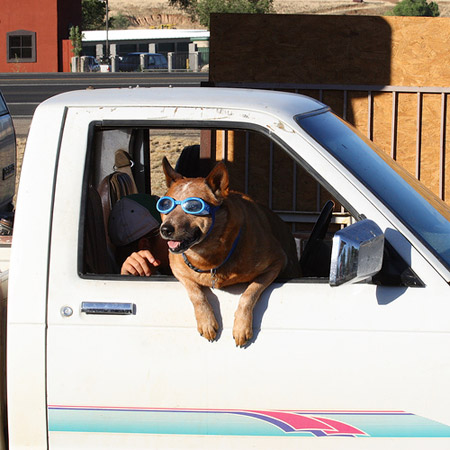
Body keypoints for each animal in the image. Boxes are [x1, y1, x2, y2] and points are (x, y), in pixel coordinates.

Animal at [158, 156, 302, 346]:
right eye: (165, 204)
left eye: (193, 206)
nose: (165, 229)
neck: (209, 258)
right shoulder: (177, 269)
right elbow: (196, 293)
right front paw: (206, 322)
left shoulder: (276, 262)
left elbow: (249, 293)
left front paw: (241, 327)